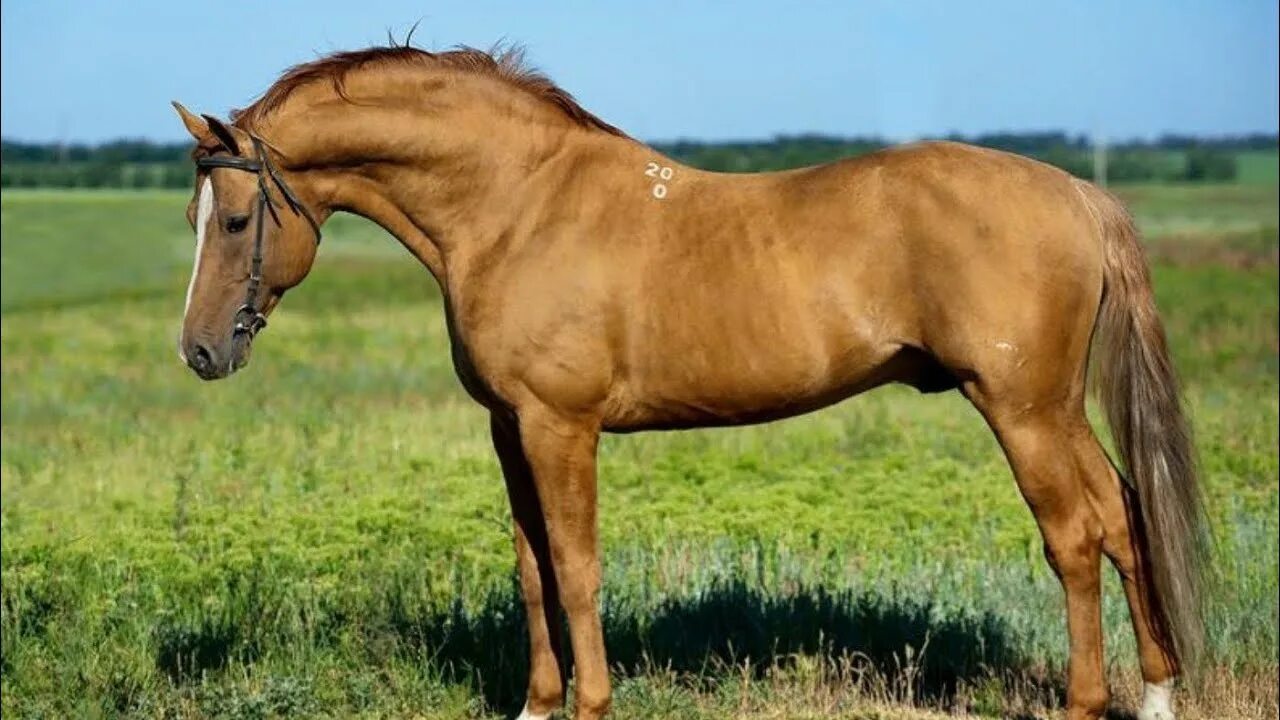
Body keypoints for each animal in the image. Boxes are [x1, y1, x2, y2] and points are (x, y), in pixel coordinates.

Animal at [175, 44, 1203, 717]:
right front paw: (538, 704)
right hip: (1055, 410)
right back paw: (1154, 690)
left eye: (233, 220)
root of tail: (1078, 193)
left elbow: (578, 568)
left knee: (1073, 536)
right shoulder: (509, 427)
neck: (516, 208)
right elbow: (532, 568)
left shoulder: (561, 426)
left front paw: (590, 705)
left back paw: (1086, 700)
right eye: (194, 214)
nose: (199, 353)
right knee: (1121, 513)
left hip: (1022, 410)